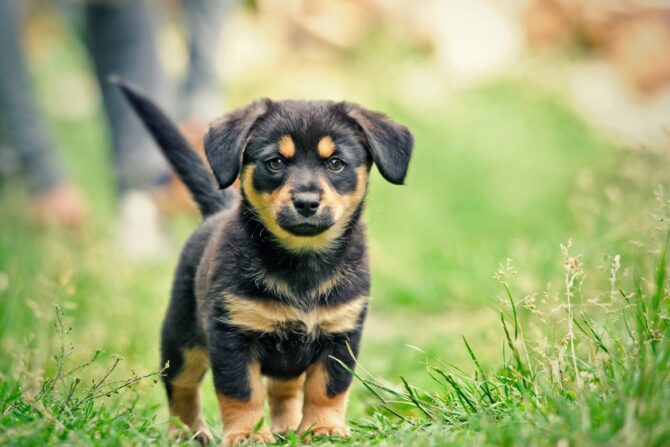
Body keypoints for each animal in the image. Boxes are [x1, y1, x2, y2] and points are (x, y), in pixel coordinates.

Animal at [118, 81, 418, 447]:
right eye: (275, 163)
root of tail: (217, 209)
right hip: (181, 339)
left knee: (283, 390)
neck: (301, 263)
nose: (306, 202)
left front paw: (322, 429)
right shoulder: (232, 337)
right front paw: (247, 434)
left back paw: (286, 428)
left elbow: (327, 389)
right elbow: (242, 393)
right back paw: (186, 433)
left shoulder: (340, 336)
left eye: (336, 163)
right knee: (182, 386)